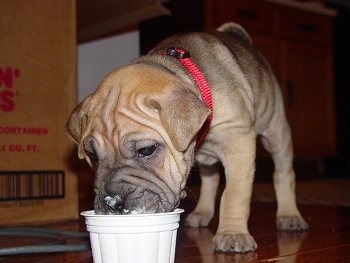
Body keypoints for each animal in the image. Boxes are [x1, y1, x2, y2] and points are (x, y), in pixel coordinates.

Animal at [65, 22, 306, 254]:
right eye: (92, 155)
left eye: (146, 150)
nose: (112, 202)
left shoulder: (238, 141)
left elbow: (233, 194)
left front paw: (233, 234)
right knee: (211, 178)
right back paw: (202, 213)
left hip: (276, 132)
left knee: (284, 174)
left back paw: (289, 215)